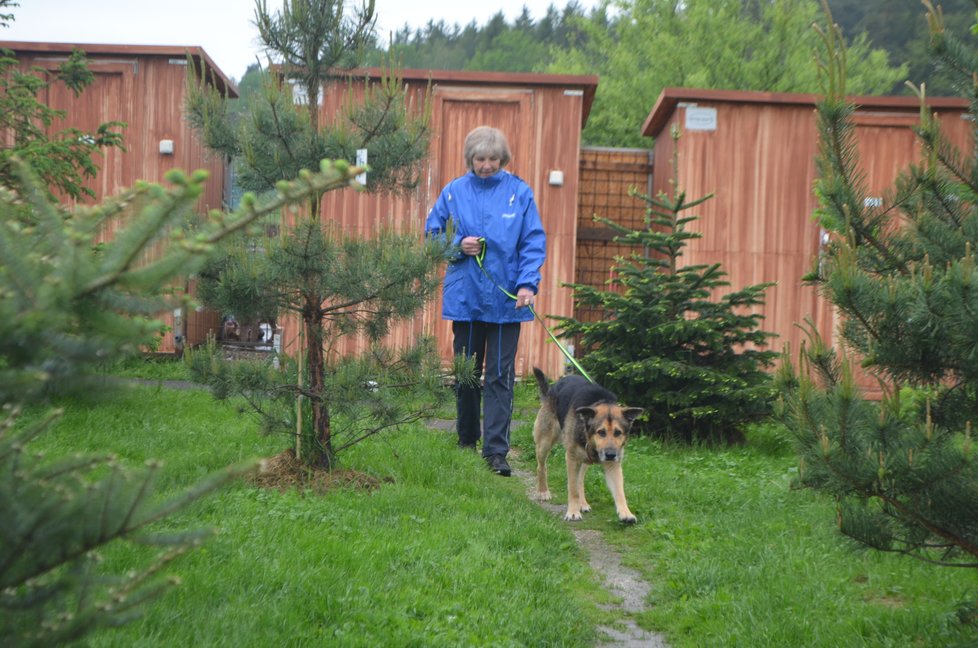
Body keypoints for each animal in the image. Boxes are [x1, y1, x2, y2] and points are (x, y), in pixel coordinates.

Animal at [532, 368, 640, 524]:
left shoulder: (613, 465)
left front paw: (626, 513)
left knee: (580, 480)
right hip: (545, 443)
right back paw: (543, 491)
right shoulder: (571, 458)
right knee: (541, 467)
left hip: (582, 460)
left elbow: (619, 491)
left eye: (618, 432)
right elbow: (572, 489)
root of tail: (553, 387)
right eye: (601, 432)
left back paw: (582, 503)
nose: (610, 455)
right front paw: (572, 512)